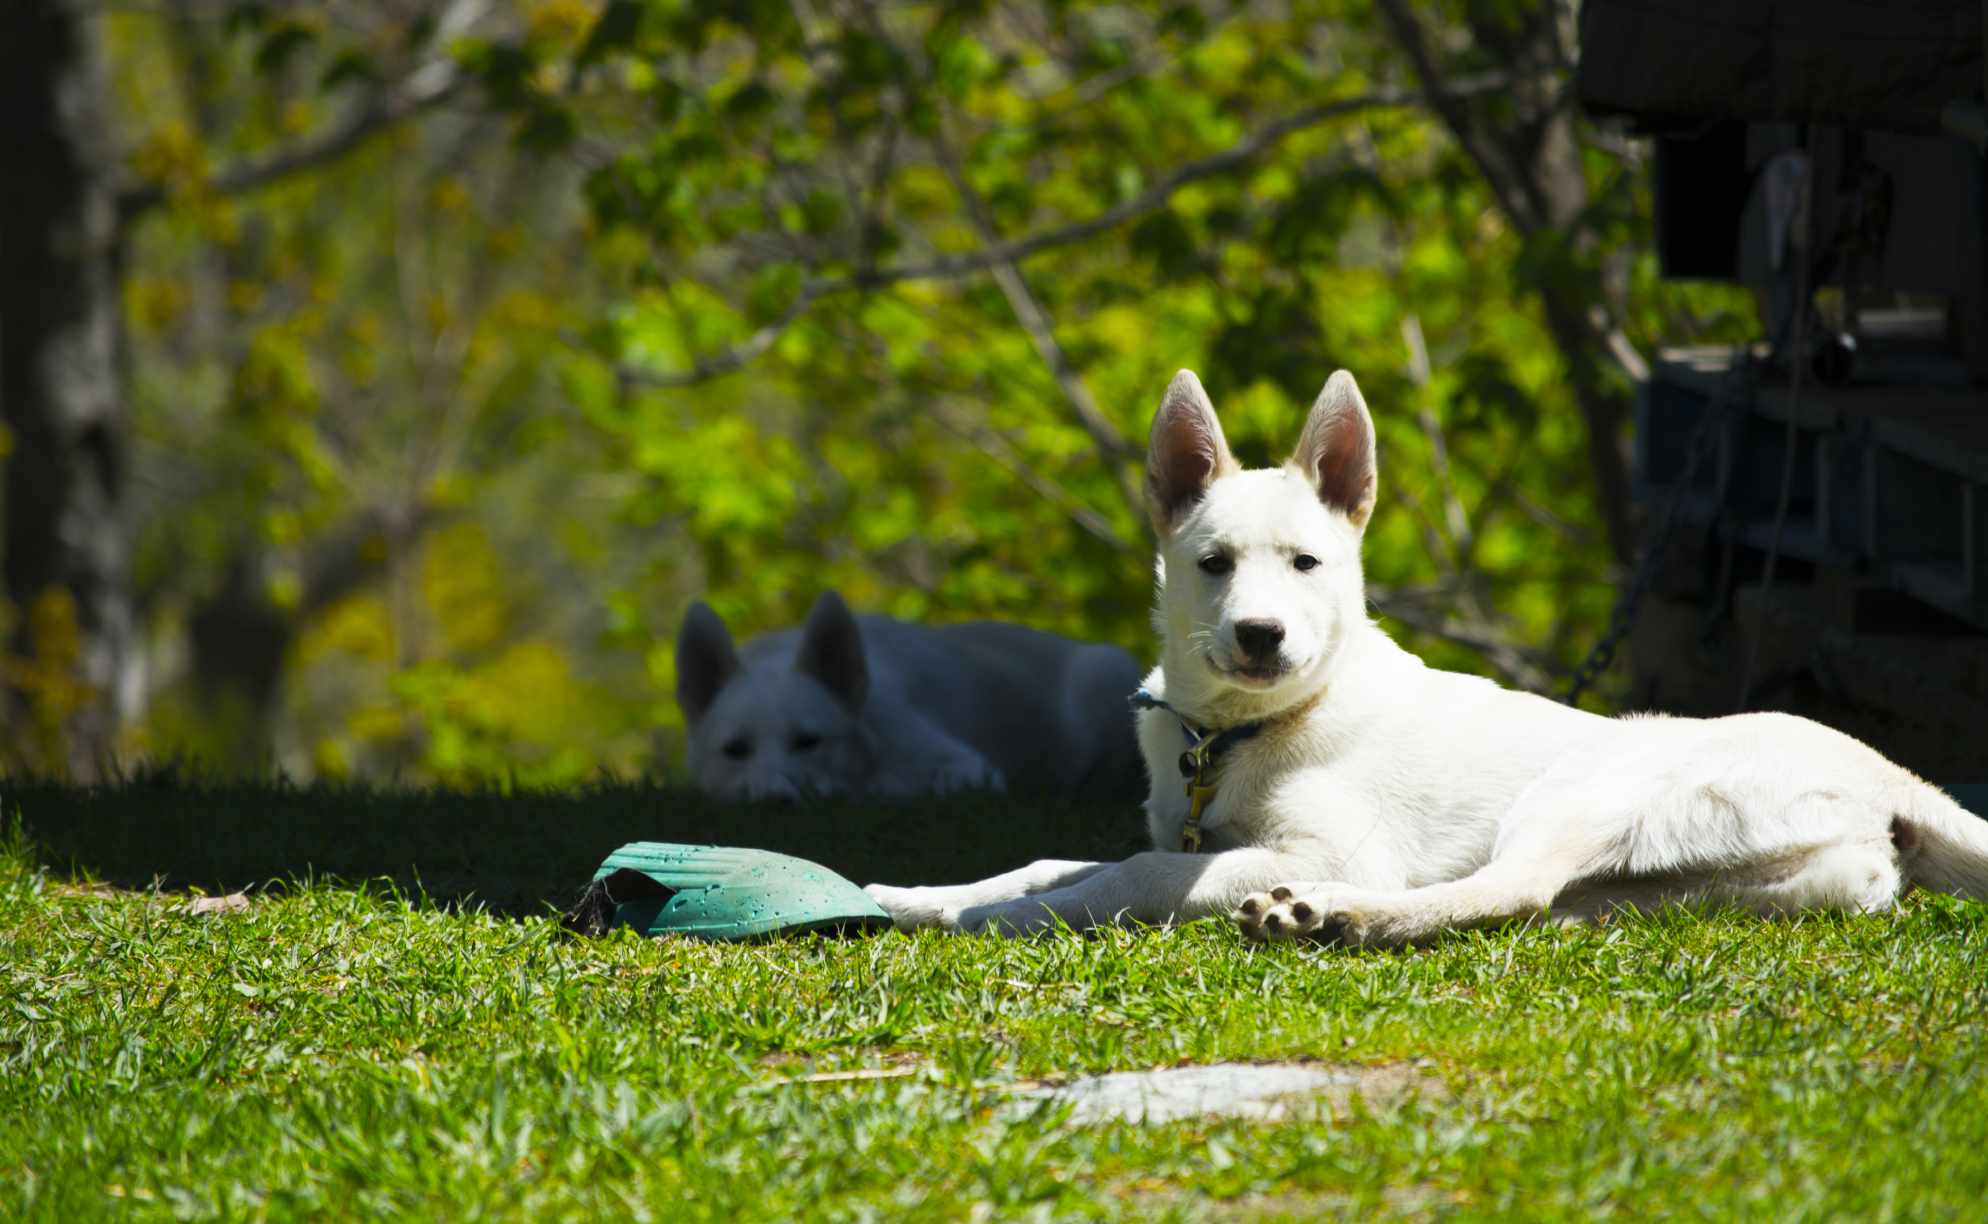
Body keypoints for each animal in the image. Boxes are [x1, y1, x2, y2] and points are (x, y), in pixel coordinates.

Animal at [866, 367, 1988, 941]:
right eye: (1213, 564)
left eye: (1307, 563)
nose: (1260, 636)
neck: (1244, 735)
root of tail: (1889, 774)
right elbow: (1051, 859)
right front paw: (921, 898)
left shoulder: (1322, 844)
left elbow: (1127, 874)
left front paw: (1005, 917)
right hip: (1702, 883)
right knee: (1540, 904)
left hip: (1586, 787)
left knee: (1506, 888)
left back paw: (1326, 916)